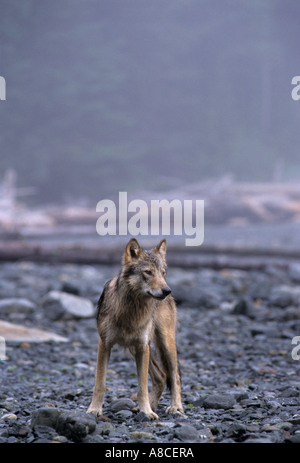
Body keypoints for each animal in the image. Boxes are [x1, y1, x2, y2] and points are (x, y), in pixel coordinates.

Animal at [86, 239, 183, 420]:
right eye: (148, 272)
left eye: (163, 273)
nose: (167, 291)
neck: (131, 310)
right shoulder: (105, 344)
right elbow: (100, 383)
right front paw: (94, 410)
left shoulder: (142, 346)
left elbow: (142, 386)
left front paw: (147, 412)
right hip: (136, 349)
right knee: (161, 376)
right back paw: (150, 406)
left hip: (164, 343)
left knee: (175, 376)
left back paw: (175, 407)